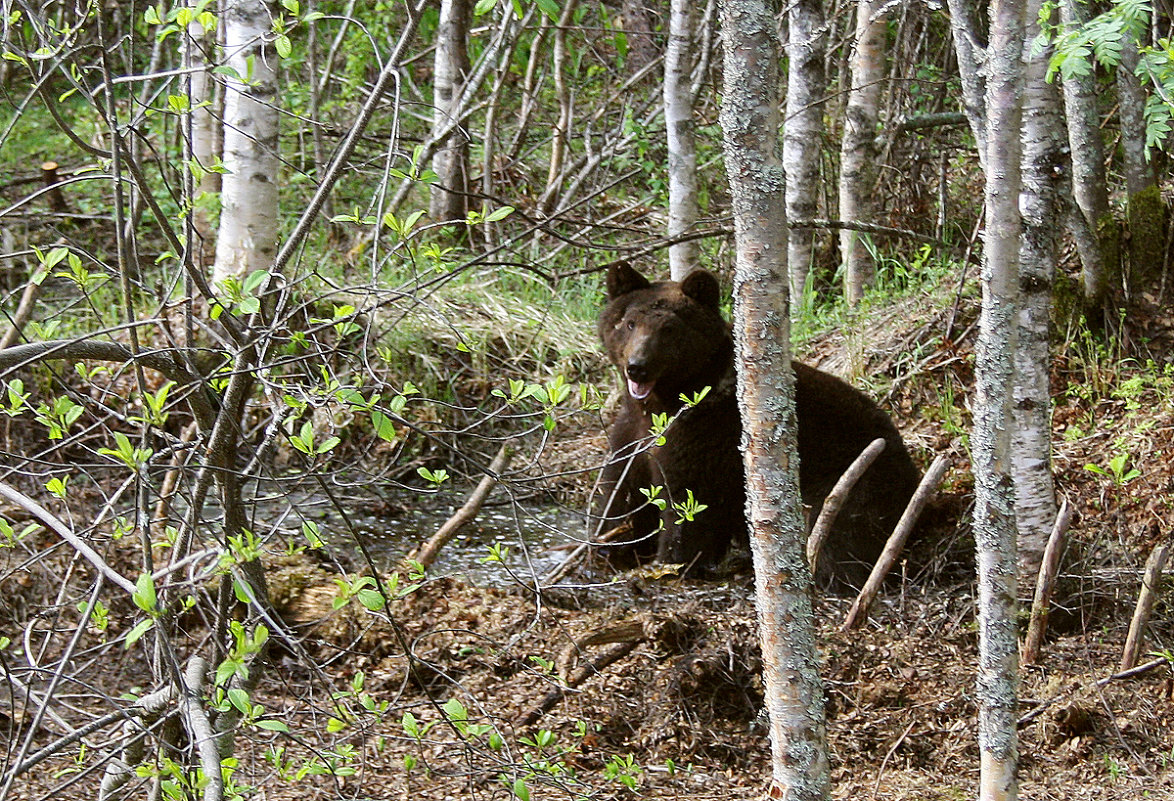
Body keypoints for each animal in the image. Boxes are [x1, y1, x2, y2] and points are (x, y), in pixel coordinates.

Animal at [591, 261, 920, 587]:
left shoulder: (705, 432)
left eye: (669, 328)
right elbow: (623, 487)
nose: (638, 367)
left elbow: (688, 501)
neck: (664, 400)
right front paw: (611, 544)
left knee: (838, 535)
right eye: (629, 322)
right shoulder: (634, 430)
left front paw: (671, 563)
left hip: (857, 480)